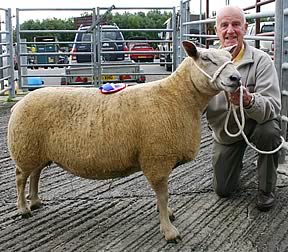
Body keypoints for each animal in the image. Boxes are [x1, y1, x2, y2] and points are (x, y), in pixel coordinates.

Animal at [7, 40, 241, 242]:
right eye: (206, 58)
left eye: (230, 57)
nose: (236, 78)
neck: (178, 97)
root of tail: (18, 104)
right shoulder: (157, 159)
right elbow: (163, 195)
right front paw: (169, 231)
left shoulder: (160, 160)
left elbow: (163, 196)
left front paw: (167, 214)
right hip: (24, 147)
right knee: (20, 178)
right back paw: (23, 208)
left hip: (35, 150)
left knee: (35, 174)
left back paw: (36, 201)